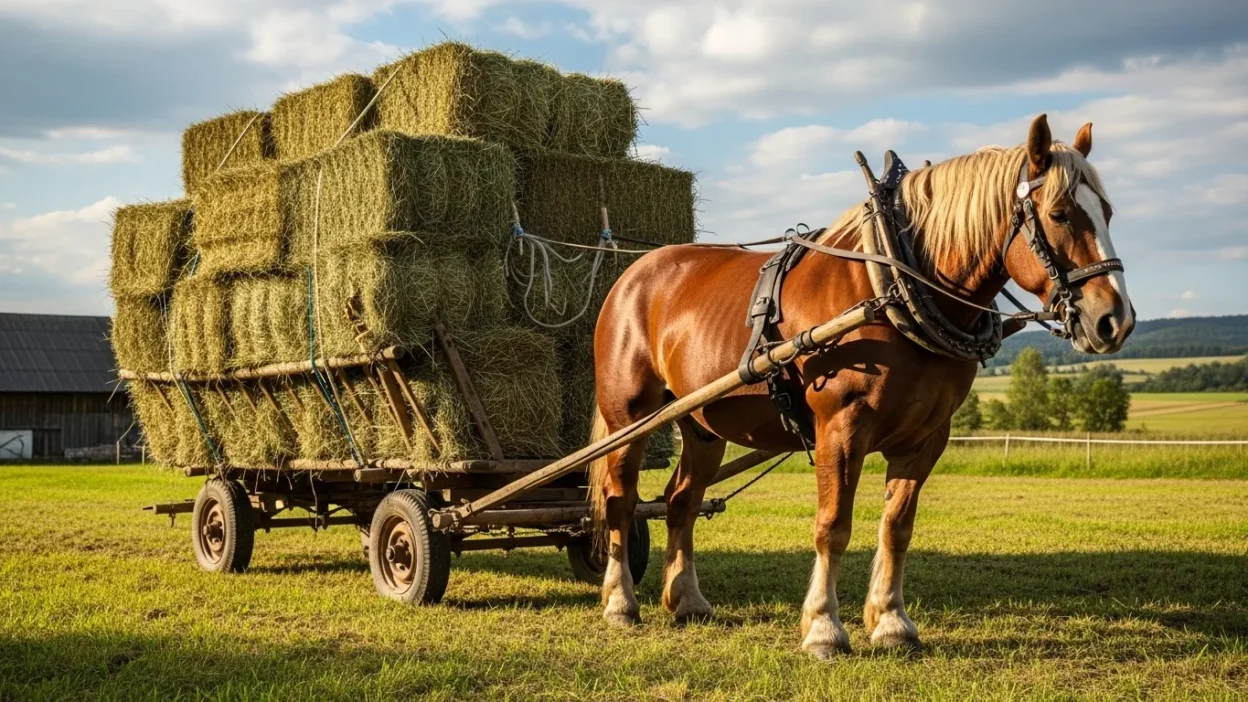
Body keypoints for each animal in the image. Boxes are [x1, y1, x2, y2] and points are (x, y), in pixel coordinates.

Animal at [587, 114, 1134, 658]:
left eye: (1107, 211)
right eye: (1060, 214)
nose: (1115, 320)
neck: (893, 288)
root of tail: (633, 274)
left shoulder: (926, 437)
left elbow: (897, 528)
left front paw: (891, 622)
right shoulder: (841, 428)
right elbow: (833, 527)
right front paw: (823, 628)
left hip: (701, 422)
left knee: (681, 499)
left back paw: (688, 600)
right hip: (629, 416)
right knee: (620, 501)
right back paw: (620, 603)